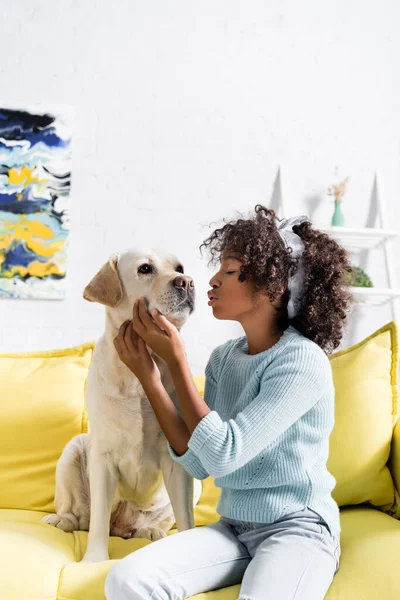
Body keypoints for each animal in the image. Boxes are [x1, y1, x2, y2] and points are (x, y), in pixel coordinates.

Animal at [40, 247, 202, 564]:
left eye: (179, 267)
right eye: (145, 269)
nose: (187, 282)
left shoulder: (177, 458)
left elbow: (186, 519)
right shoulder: (103, 456)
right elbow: (98, 524)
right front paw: (94, 560)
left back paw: (150, 531)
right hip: (74, 449)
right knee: (83, 517)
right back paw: (61, 520)